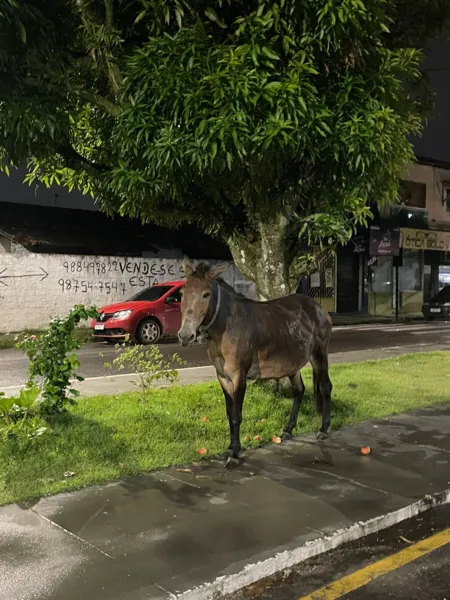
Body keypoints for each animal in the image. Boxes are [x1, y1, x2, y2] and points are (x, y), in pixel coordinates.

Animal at [178, 260, 332, 466]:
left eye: (206, 294)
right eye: (182, 293)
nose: (185, 335)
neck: (227, 327)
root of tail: (319, 308)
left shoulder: (239, 376)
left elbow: (237, 415)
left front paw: (235, 453)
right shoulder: (223, 377)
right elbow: (229, 413)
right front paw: (230, 447)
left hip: (319, 354)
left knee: (325, 387)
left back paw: (323, 429)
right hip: (293, 362)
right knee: (299, 390)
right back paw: (288, 429)